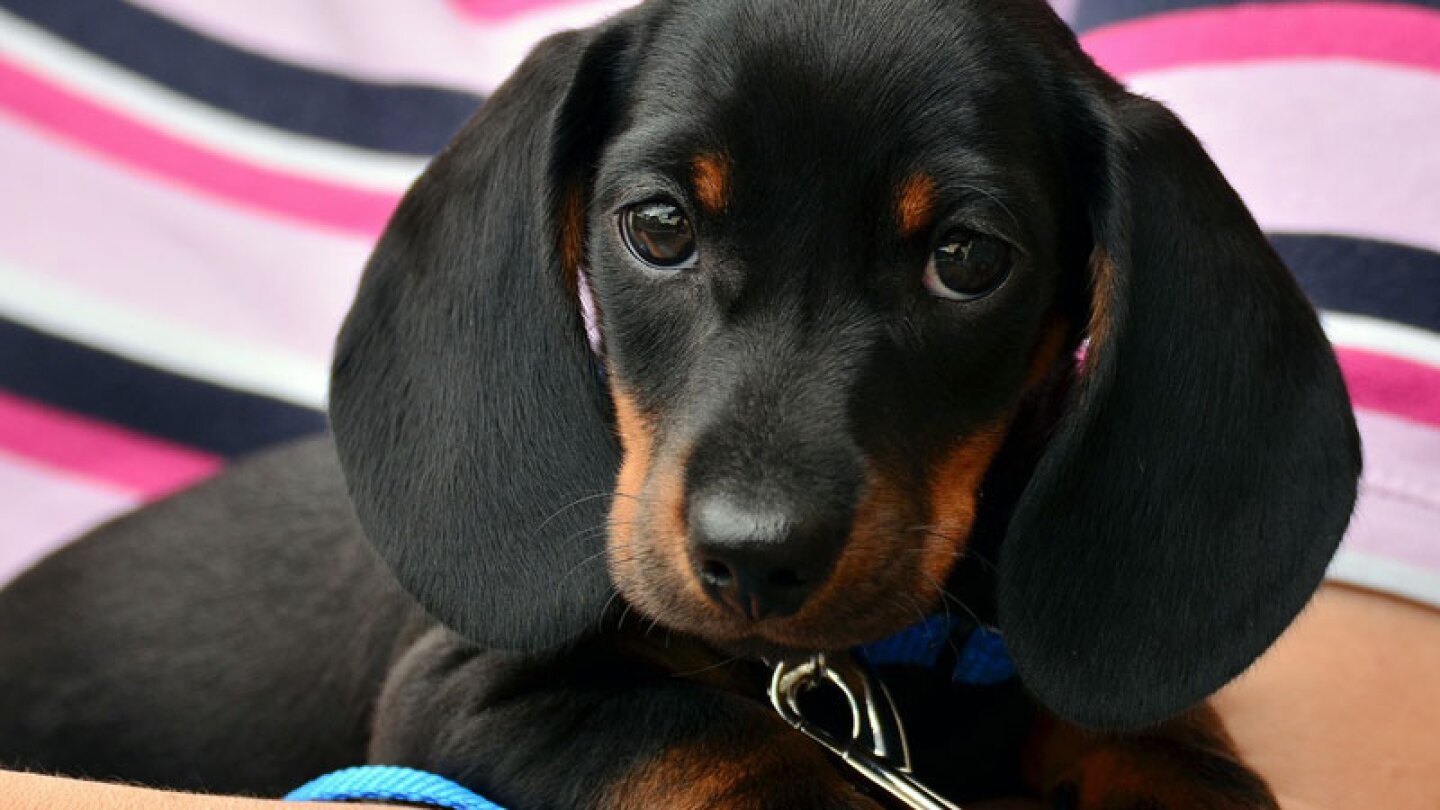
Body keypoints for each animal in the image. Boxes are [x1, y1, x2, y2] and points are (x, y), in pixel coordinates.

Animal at [0, 1, 1359, 807]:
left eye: (969, 257)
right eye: (659, 226)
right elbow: (725, 744)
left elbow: (1164, 755)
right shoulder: (468, 691)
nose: (754, 560)